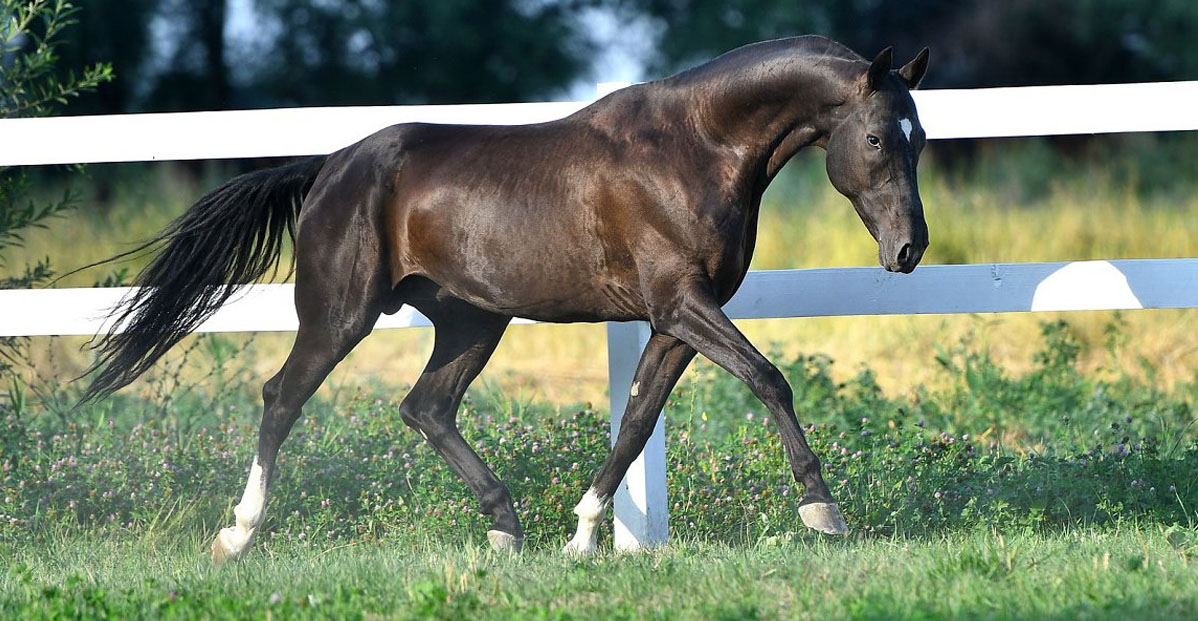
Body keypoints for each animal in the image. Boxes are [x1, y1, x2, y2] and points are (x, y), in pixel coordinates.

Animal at [79, 35, 929, 561]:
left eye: (920, 138)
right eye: (879, 138)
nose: (909, 250)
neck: (691, 148)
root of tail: (329, 166)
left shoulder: (674, 319)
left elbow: (636, 421)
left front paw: (582, 537)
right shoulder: (682, 305)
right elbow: (769, 379)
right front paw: (824, 511)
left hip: (471, 320)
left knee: (425, 406)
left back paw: (506, 528)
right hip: (340, 314)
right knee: (282, 396)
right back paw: (239, 534)